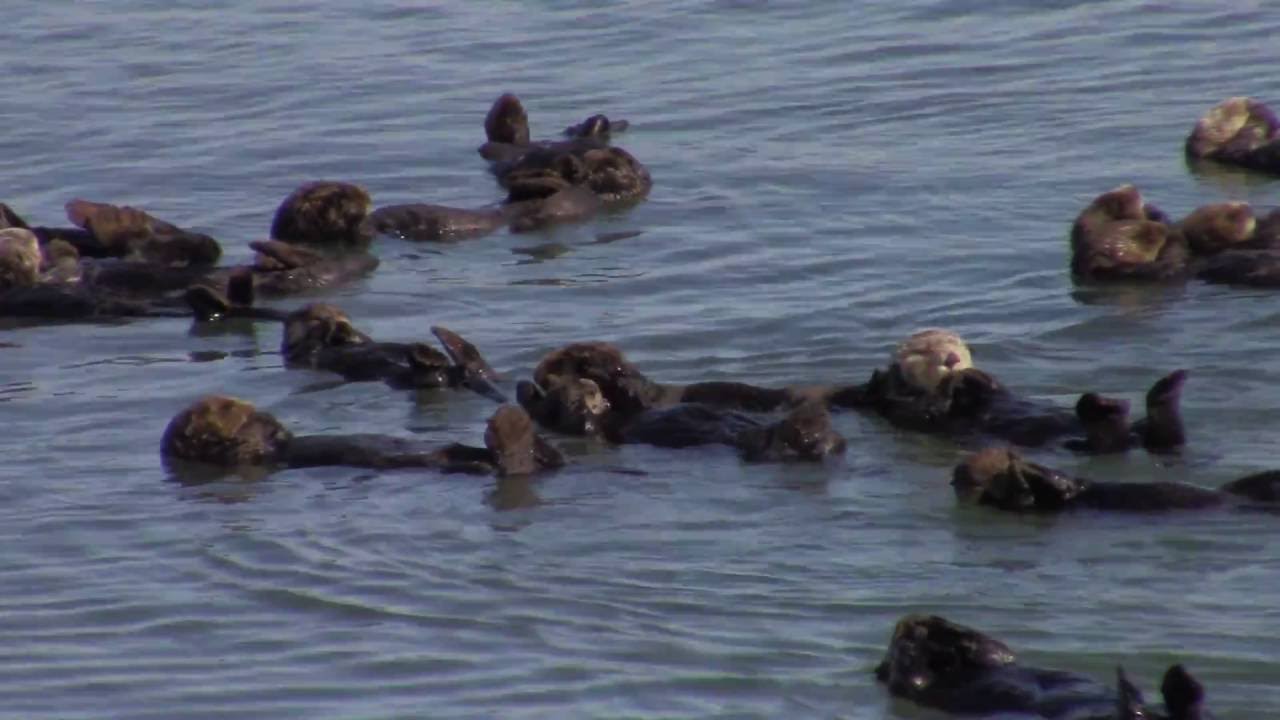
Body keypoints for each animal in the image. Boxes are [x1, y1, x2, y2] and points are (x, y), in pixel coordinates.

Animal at [876, 614, 1214, 718]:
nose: (914, 625)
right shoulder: (914, 684)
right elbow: (911, 675)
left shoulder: (993, 658)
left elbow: (998, 650)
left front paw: (950, 629)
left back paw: (1177, 679)